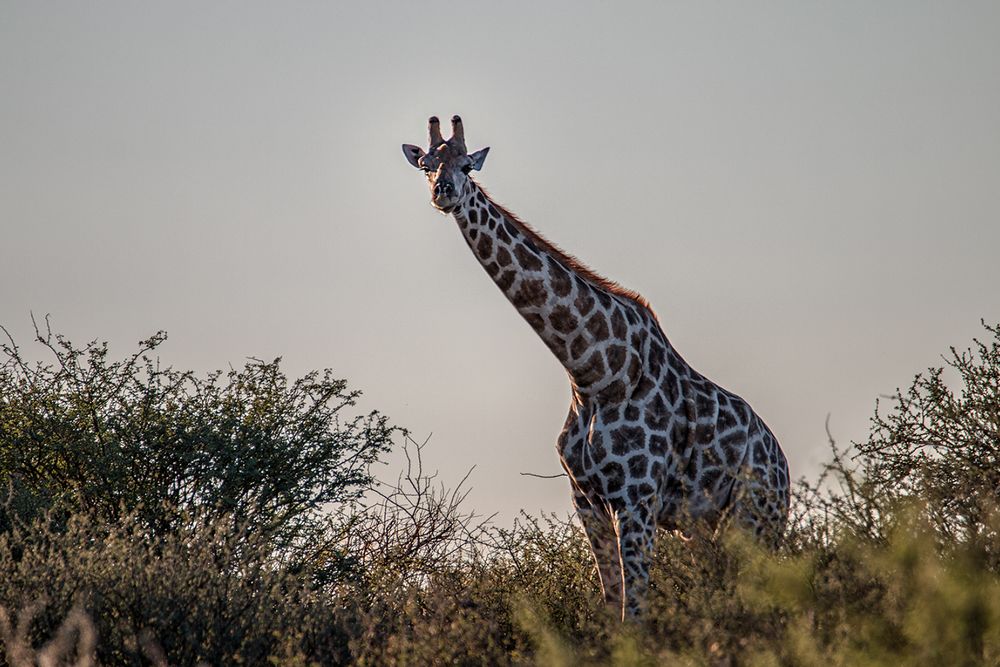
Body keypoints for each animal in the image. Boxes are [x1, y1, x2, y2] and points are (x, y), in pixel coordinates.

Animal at [398, 116, 788, 620]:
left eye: (467, 165)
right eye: (426, 164)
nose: (443, 192)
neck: (591, 374)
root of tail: (780, 461)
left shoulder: (638, 498)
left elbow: (635, 611)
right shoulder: (586, 499)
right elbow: (610, 605)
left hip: (756, 517)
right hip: (704, 529)